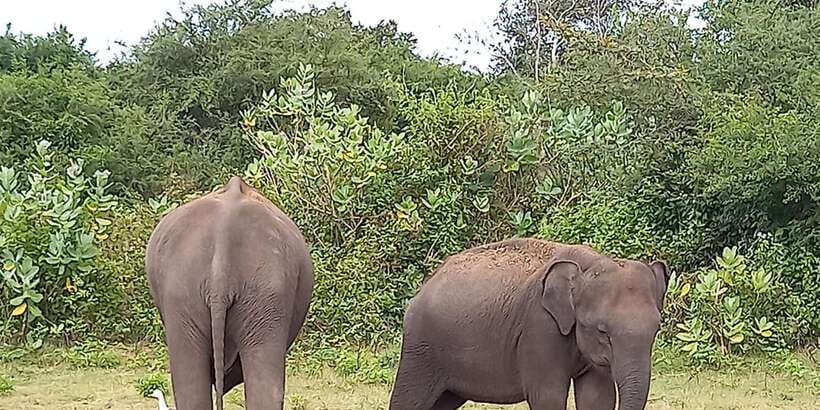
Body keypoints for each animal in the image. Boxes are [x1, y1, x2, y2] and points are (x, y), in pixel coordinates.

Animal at [389, 238, 670, 410]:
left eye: (656, 330)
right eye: (602, 331)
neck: (588, 264)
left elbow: (598, 398)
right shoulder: (539, 327)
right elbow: (548, 396)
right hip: (421, 349)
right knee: (408, 400)